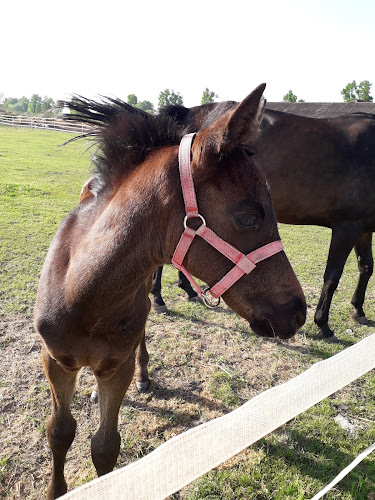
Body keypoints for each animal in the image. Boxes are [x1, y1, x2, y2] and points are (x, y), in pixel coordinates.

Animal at [33, 84, 306, 498]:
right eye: (248, 216)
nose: (298, 311)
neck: (83, 296)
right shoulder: (55, 360)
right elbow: (60, 432)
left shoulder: (117, 366)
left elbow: (105, 447)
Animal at [153, 103, 375, 342]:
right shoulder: (346, 227)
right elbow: (332, 278)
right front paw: (323, 324)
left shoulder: (364, 230)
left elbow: (366, 267)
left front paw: (358, 310)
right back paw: (158, 299)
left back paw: (188, 289)